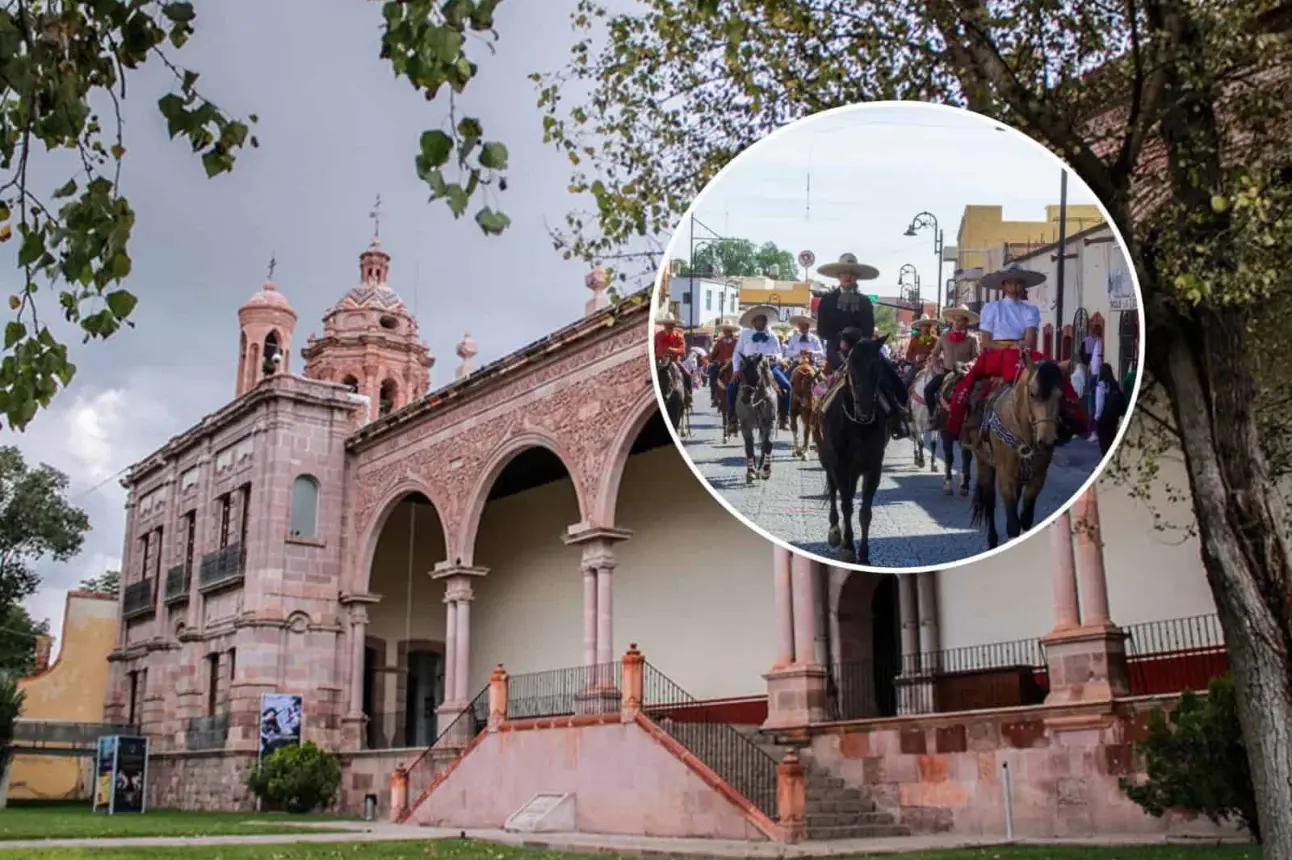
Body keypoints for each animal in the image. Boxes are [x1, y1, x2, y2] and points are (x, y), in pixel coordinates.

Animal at [816, 329, 909, 563]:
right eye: (850, 366)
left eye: (878, 366)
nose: (865, 407)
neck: (857, 423)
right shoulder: (839, 464)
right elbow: (846, 505)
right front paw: (848, 546)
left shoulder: (873, 467)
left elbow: (865, 512)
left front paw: (864, 555)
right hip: (827, 459)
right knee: (834, 491)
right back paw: (835, 531)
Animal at [971, 351, 1064, 544]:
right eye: (1033, 394)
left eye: (1060, 396)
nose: (1047, 441)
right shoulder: (1005, 477)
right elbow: (1013, 524)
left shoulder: (1037, 479)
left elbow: (1026, 519)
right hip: (984, 462)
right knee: (989, 500)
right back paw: (992, 540)